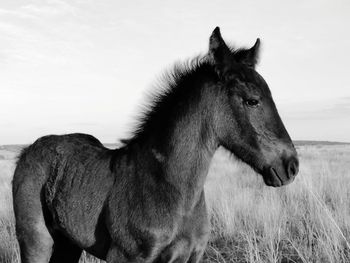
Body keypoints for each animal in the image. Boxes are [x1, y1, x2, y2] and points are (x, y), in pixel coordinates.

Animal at [12, 27, 300, 263]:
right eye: (252, 100)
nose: (290, 166)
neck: (170, 185)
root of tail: (28, 150)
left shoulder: (189, 257)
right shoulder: (125, 257)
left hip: (68, 244)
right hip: (36, 241)